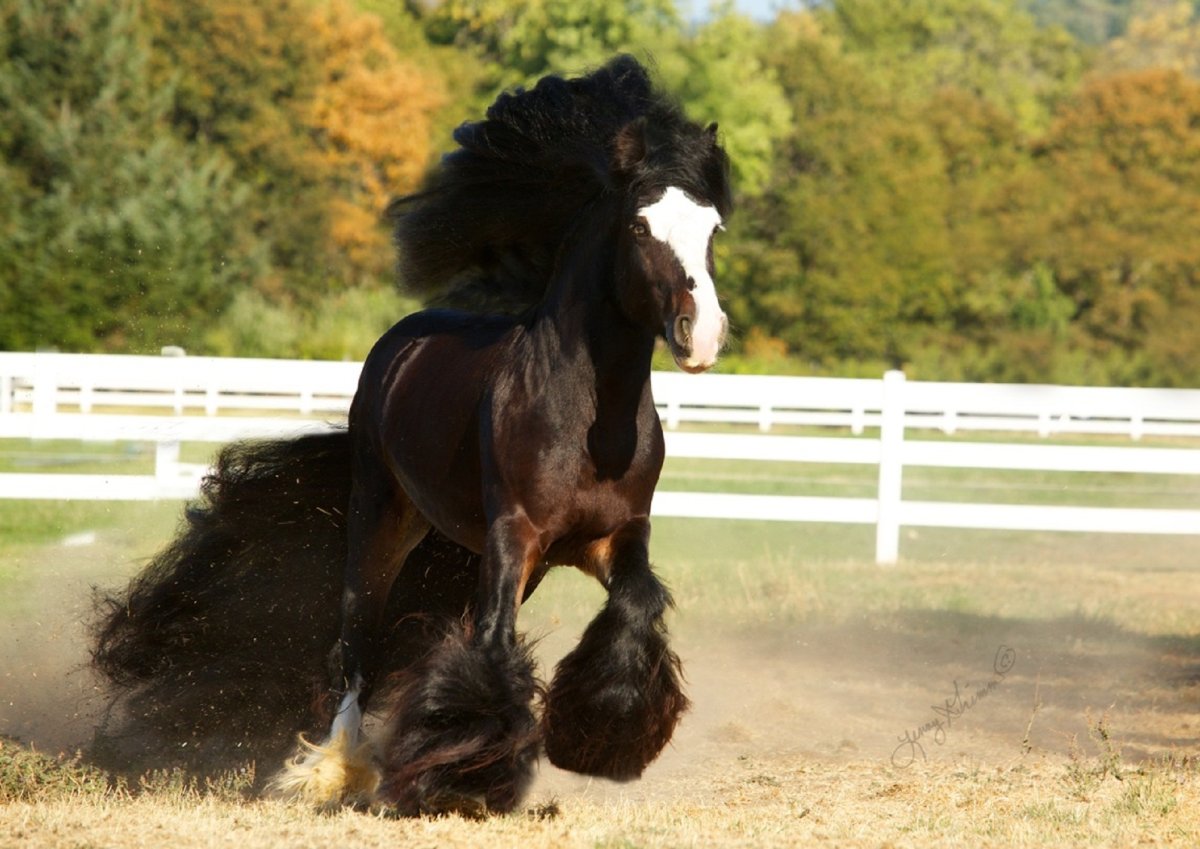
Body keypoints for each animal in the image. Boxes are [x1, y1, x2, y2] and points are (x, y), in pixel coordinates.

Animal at [92, 55, 732, 816]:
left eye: (714, 229)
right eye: (639, 225)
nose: (703, 335)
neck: (586, 417)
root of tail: (398, 347)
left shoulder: (613, 536)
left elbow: (634, 610)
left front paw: (598, 742)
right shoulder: (515, 533)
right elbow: (490, 646)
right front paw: (462, 778)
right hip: (383, 521)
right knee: (356, 640)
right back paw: (338, 768)